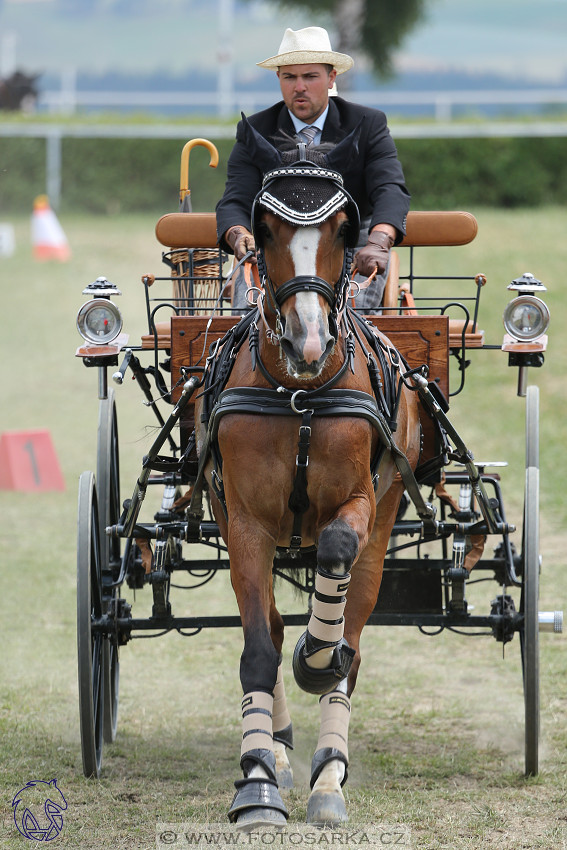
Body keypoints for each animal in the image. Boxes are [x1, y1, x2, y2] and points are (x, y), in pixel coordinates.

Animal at [195, 121, 422, 828]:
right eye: (262, 228)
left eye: (347, 228)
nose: (308, 341)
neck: (299, 395)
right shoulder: (245, 521)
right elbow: (257, 649)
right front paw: (257, 780)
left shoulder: (358, 501)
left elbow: (337, 559)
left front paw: (316, 657)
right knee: (267, 623)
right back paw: (284, 752)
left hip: (386, 514)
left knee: (354, 634)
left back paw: (329, 777)